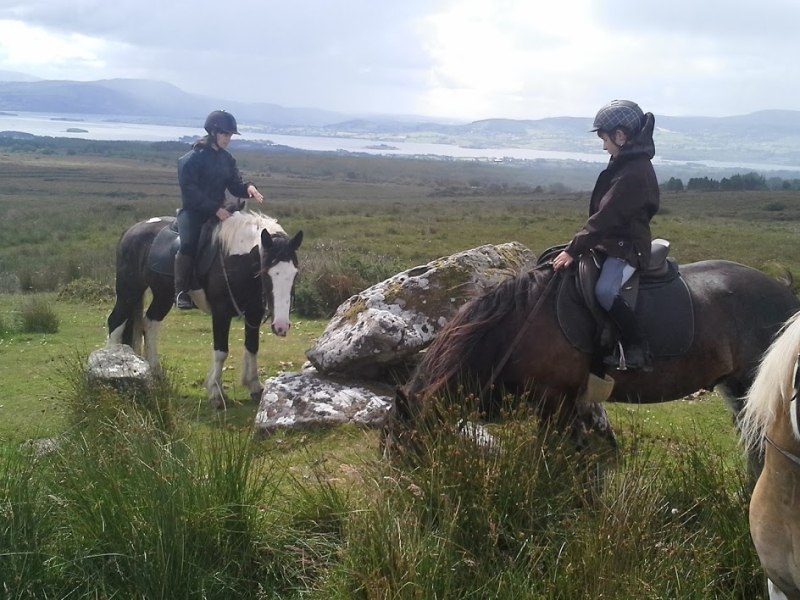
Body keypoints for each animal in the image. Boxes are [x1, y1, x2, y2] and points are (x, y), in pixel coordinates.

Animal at [106, 211, 304, 408]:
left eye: (294, 273)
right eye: (266, 272)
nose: (281, 326)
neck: (234, 259)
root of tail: (130, 231)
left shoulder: (254, 311)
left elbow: (252, 346)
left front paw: (254, 386)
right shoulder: (221, 311)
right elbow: (221, 351)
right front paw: (216, 392)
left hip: (162, 296)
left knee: (150, 324)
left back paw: (156, 373)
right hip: (129, 290)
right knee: (115, 322)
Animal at [388, 258, 800, 474]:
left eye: (404, 447)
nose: (410, 495)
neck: (518, 325)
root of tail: (784, 290)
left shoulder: (554, 401)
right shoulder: (566, 405)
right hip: (736, 390)